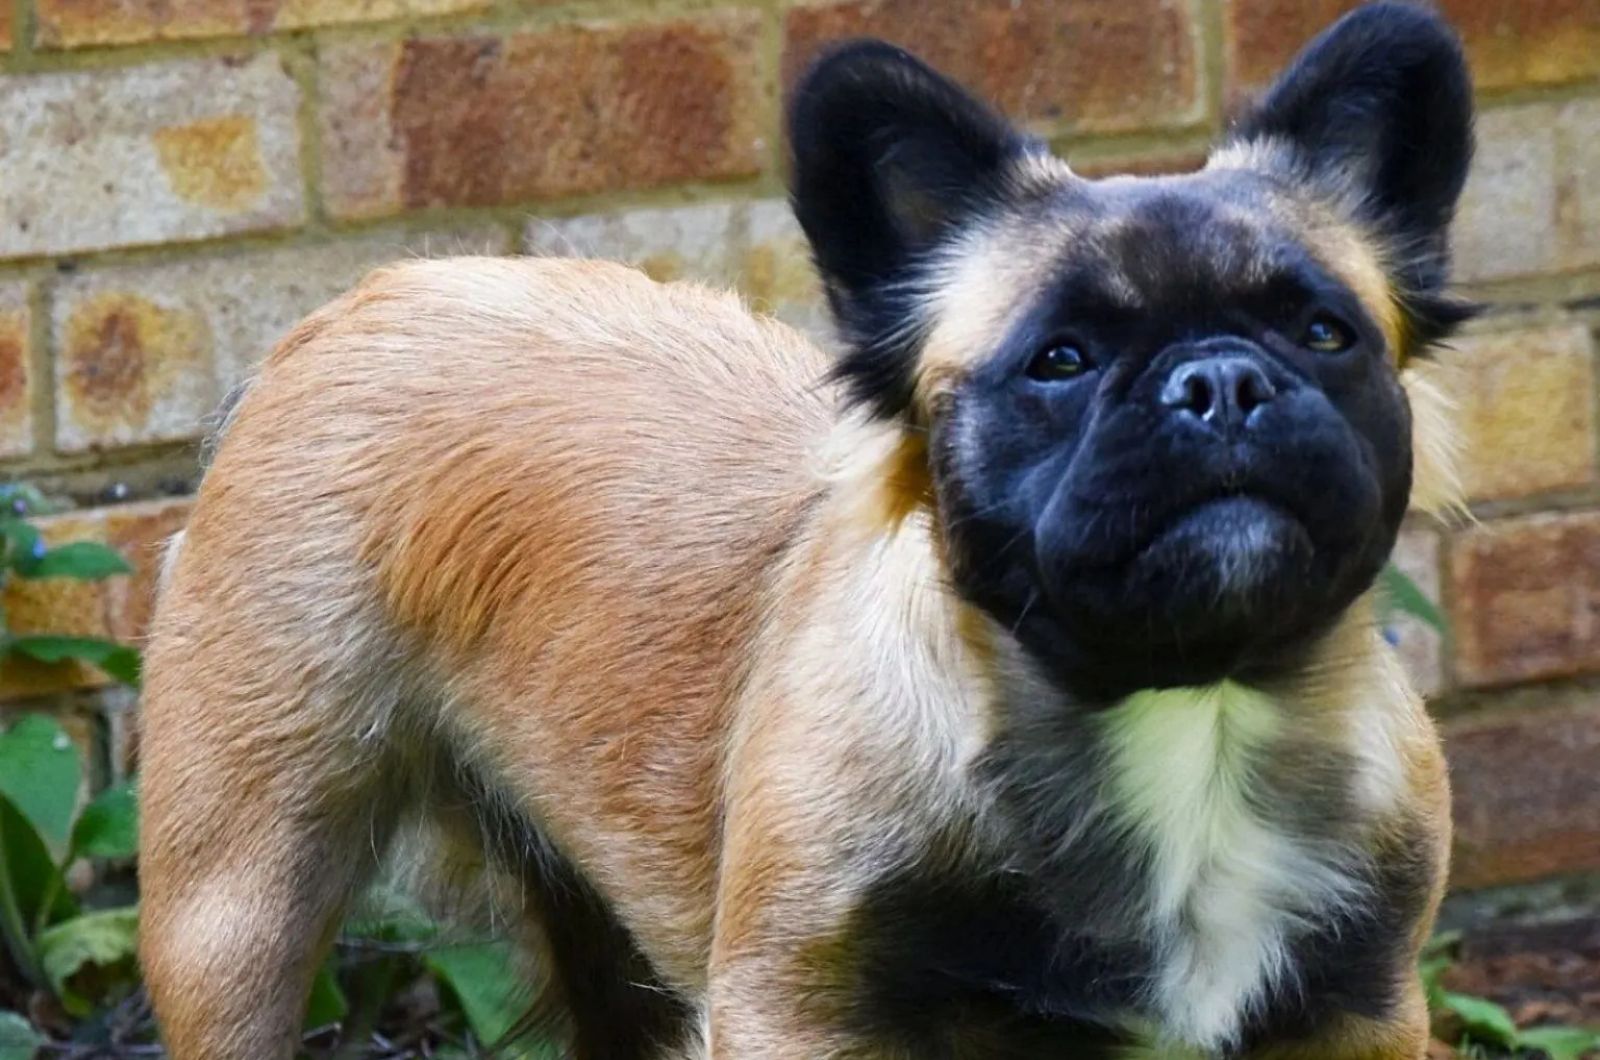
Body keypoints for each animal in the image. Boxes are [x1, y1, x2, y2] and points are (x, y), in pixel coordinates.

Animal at [137, 4, 1472, 1056]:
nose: (1219, 381)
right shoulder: (804, 1009)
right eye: (1061, 360)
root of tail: (360, 303)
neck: (1182, 700)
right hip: (238, 904)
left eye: (1324, 333)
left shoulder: (1353, 1008)